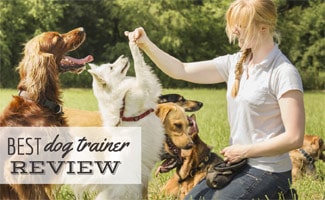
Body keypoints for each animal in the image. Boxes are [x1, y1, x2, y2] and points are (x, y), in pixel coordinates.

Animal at [82, 41, 163, 199]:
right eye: (111, 67)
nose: (123, 55)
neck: (121, 98)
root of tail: (107, 182)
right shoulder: (146, 87)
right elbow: (139, 64)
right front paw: (133, 45)